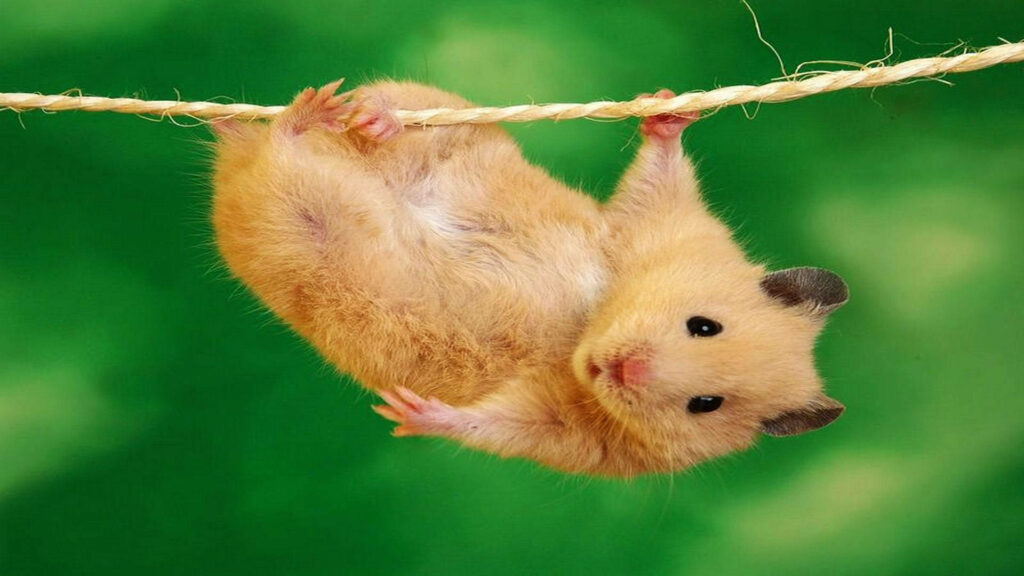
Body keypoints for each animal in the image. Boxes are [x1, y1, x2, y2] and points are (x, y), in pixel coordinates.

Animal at [210, 81, 848, 478]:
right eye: (704, 325)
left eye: (706, 404)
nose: (621, 369)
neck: (586, 328)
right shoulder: (654, 226)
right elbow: (659, 176)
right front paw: (668, 110)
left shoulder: (572, 435)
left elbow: (493, 424)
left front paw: (406, 412)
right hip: (448, 130)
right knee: (397, 112)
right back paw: (355, 114)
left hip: (293, 222)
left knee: (280, 158)